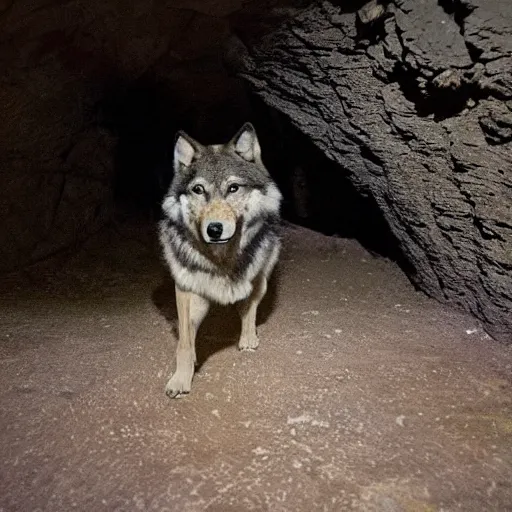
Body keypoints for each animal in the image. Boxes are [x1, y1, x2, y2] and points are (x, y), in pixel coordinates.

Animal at [158, 122, 282, 398]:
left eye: (233, 188)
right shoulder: (185, 286)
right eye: (198, 189)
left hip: (263, 278)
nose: (214, 229)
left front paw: (247, 337)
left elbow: (248, 308)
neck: (221, 259)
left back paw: (248, 337)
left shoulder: (253, 278)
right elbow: (185, 341)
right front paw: (181, 378)